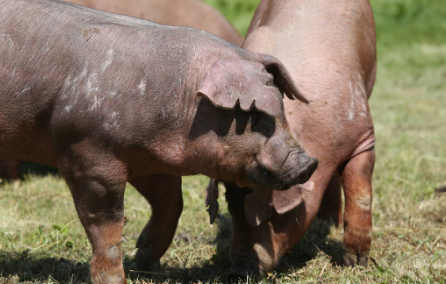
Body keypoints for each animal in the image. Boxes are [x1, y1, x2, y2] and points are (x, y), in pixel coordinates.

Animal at [206, 0, 376, 278]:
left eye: (273, 213)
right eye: (231, 206)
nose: (237, 272)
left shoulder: (363, 133)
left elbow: (360, 191)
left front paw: (355, 263)